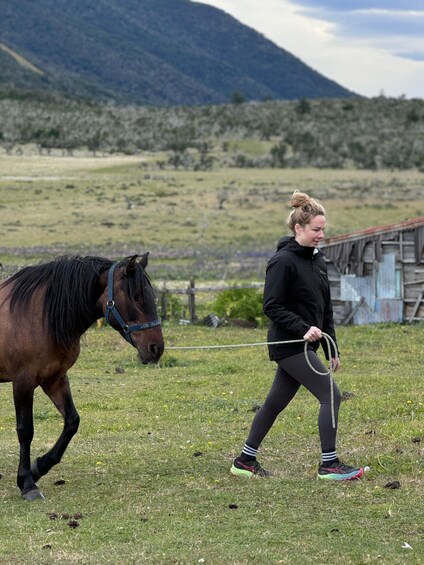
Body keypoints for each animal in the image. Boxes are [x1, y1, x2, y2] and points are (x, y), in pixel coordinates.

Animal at [0, 253, 164, 500]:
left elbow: (72, 422)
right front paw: (27, 483)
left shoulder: (55, 379)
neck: (38, 315)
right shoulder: (23, 382)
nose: (156, 349)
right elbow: (25, 430)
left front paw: (39, 467)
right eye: (136, 296)